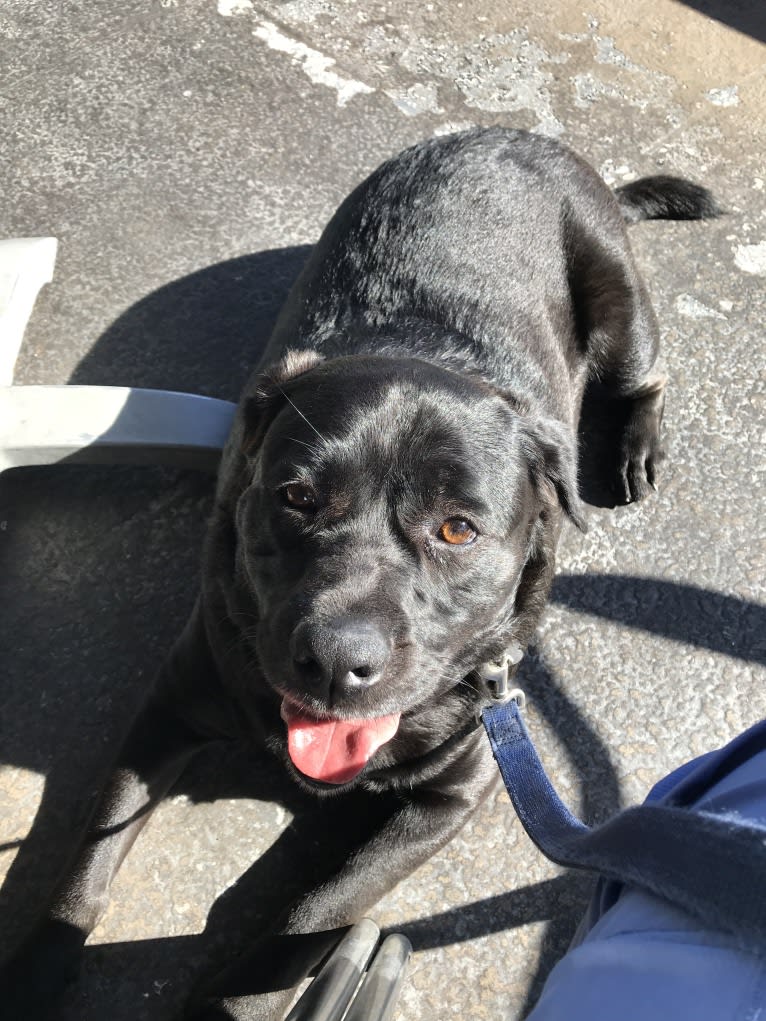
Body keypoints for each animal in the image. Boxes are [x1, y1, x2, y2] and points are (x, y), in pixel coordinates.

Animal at [1, 125, 719, 1012]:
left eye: (459, 528)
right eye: (296, 496)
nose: (338, 661)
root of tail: (511, 134)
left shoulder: (460, 788)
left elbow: (312, 913)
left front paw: (234, 1004)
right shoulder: (169, 704)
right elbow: (86, 862)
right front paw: (34, 975)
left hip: (618, 303)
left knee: (645, 371)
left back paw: (636, 444)